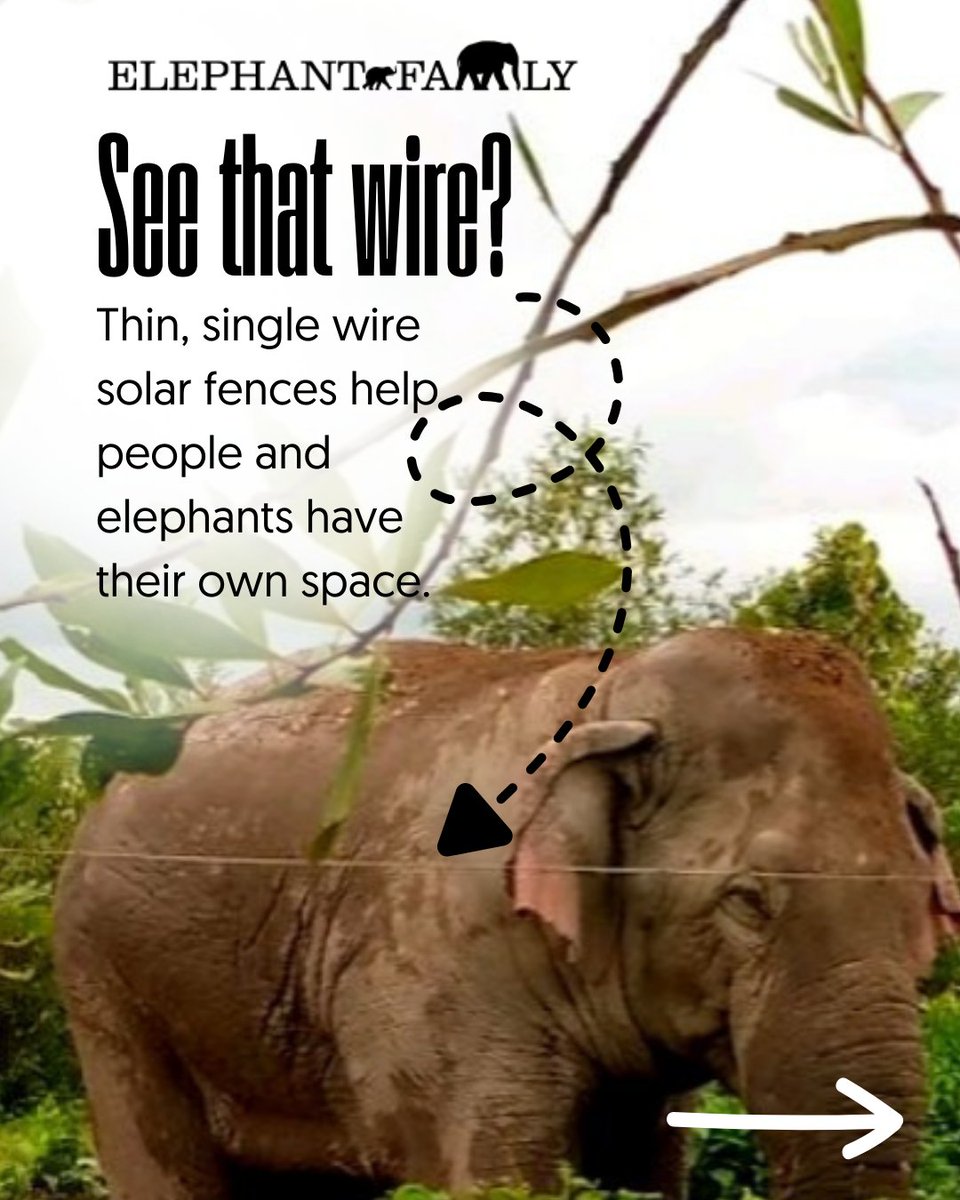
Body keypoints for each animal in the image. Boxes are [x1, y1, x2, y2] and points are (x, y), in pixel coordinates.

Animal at [53, 628, 960, 1200]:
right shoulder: (437, 970)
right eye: (747, 901)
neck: (621, 690)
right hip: (103, 981)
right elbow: (492, 1165)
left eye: (920, 907)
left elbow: (645, 1166)